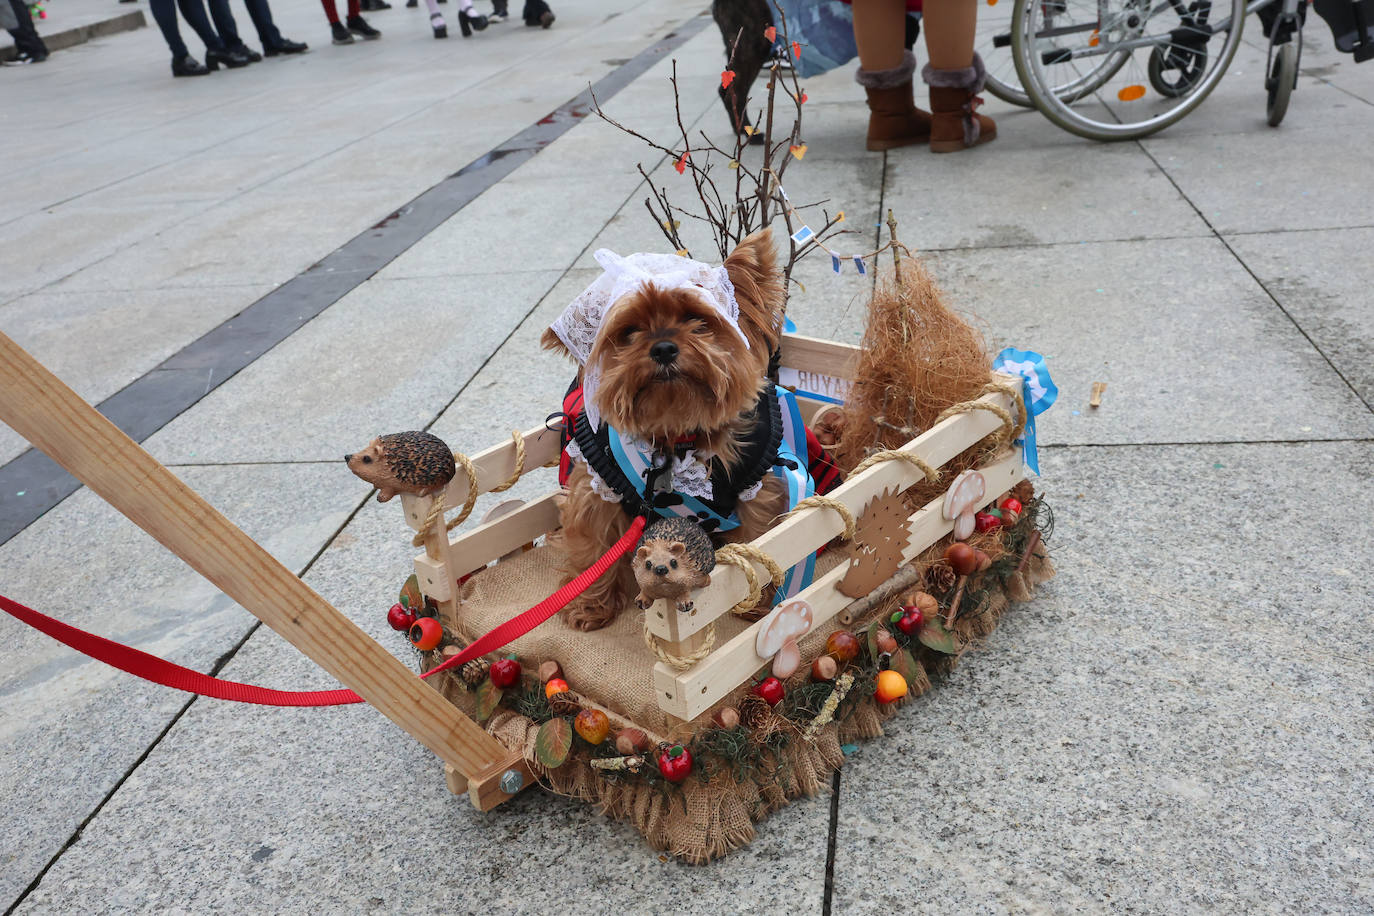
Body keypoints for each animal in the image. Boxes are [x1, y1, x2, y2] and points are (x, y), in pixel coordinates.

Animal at [541, 227, 791, 631]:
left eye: (696, 319)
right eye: (629, 331)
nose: (662, 348)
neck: (677, 433)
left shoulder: (754, 485)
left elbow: (759, 538)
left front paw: (757, 600)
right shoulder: (597, 485)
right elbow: (594, 544)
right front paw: (591, 607)